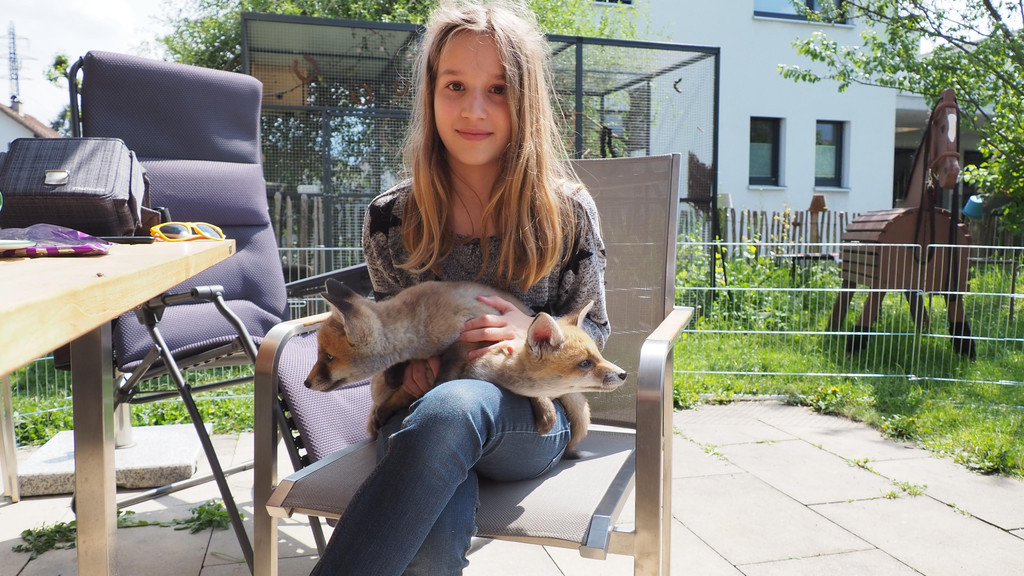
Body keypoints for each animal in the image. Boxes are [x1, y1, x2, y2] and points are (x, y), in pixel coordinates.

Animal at [305, 278, 627, 457]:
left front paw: (433, 389)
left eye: (328, 357)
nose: (307, 383)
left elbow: (447, 371)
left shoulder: (468, 334)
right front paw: (396, 380)